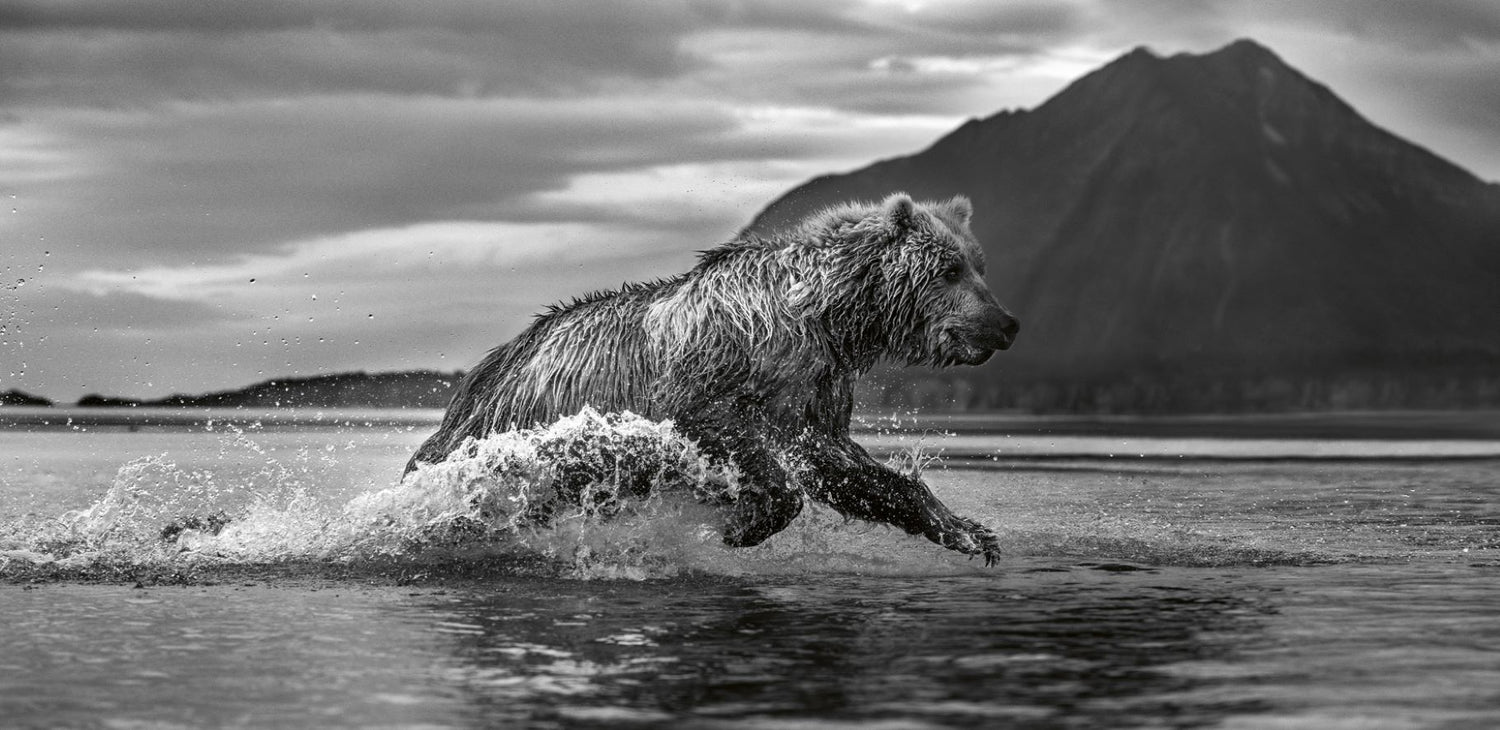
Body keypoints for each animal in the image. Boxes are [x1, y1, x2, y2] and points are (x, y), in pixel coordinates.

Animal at [405, 194, 1020, 566]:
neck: (826, 319)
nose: (1006, 323)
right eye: (950, 269)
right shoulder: (715, 366)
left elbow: (842, 466)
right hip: (509, 429)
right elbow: (725, 433)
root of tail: (474, 382)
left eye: (979, 264)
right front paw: (738, 523)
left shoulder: (814, 388)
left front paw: (968, 531)